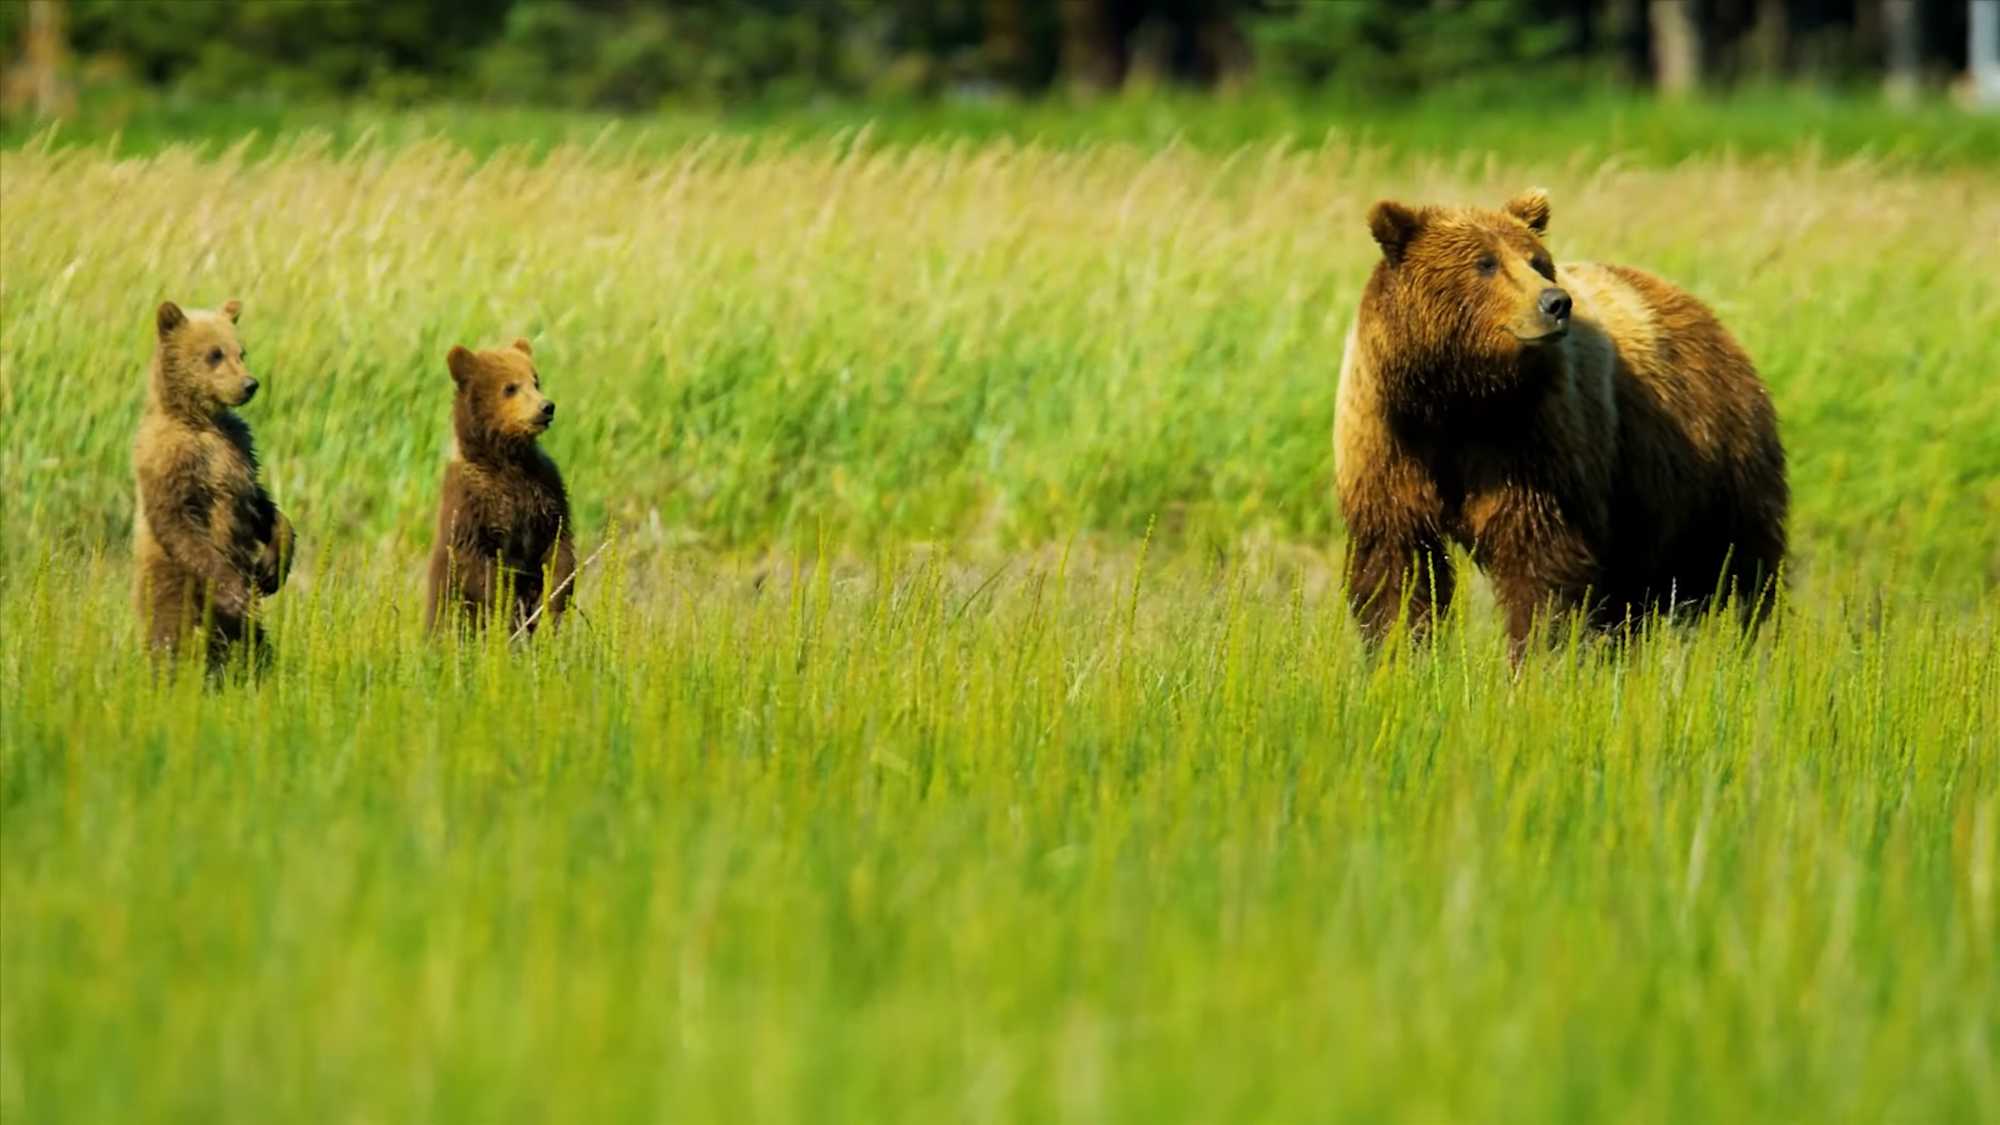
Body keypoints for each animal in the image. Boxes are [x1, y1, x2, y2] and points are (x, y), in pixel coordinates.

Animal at [132, 299, 294, 675]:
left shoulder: (238, 449)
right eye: (214, 354)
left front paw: (274, 563)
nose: (250, 384)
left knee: (253, 639)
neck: (200, 421)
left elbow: (259, 502)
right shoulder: (170, 458)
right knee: (170, 634)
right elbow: (178, 521)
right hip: (170, 583)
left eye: (241, 351)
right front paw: (234, 593)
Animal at [424, 338, 577, 636]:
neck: (507, 459)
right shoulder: (470, 502)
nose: (546, 406)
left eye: (535, 380)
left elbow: (559, 543)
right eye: (510, 387)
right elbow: (477, 563)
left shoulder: (545, 486)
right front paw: (507, 610)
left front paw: (552, 602)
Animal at [1333, 189, 1788, 656]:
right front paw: (1399, 653)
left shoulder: (1533, 441)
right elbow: (1395, 564)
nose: (1555, 302)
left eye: (1536, 261)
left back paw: (1743, 635)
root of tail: (1710, 319)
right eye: (1485, 262)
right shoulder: (1388, 443)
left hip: (1710, 462)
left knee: (1733, 565)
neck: (1458, 398)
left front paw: (1536, 653)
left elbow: (1539, 559)